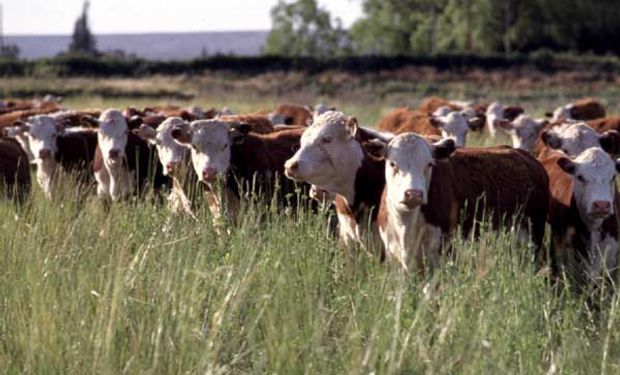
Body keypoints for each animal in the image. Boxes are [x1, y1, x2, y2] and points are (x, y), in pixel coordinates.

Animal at [368, 134, 548, 272]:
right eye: (393, 163)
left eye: (429, 164)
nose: (414, 194)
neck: (406, 223)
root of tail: (526, 157)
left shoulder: (441, 254)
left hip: (535, 238)